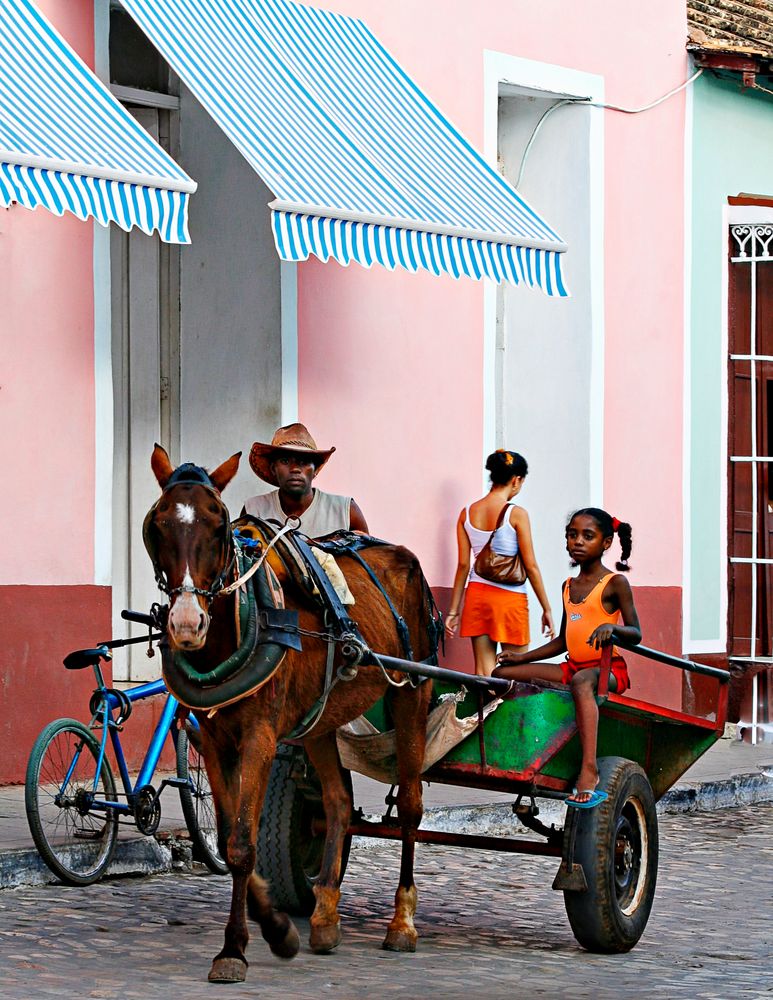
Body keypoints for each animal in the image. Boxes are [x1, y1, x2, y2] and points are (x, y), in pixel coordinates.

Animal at [142, 448, 438, 984]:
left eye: (218, 524)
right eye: (158, 523)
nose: (187, 623)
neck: (239, 620)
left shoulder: (259, 735)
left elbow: (242, 843)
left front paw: (235, 949)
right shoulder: (213, 738)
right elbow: (228, 835)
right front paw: (279, 929)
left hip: (413, 693)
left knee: (410, 806)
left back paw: (402, 922)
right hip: (319, 720)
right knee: (339, 801)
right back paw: (324, 917)